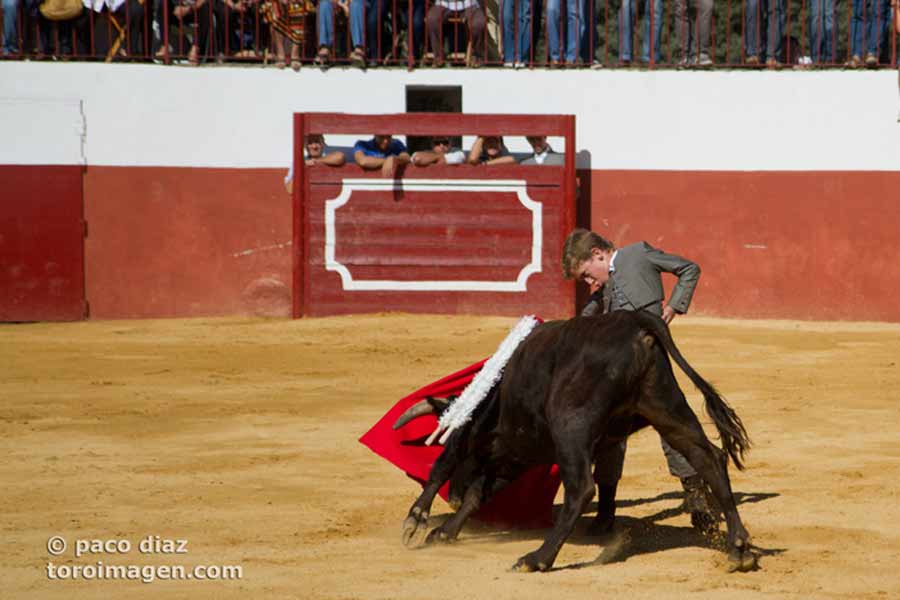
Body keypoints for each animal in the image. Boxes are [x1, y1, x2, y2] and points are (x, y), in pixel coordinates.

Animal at [398, 312, 756, 576]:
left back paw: (537, 559)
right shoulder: (516, 455)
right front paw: (445, 532)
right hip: (666, 408)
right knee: (709, 457)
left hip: (570, 423)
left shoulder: (472, 429)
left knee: (582, 488)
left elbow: (443, 464)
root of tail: (635, 323)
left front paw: (415, 522)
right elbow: (479, 492)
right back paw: (739, 549)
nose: (452, 500)